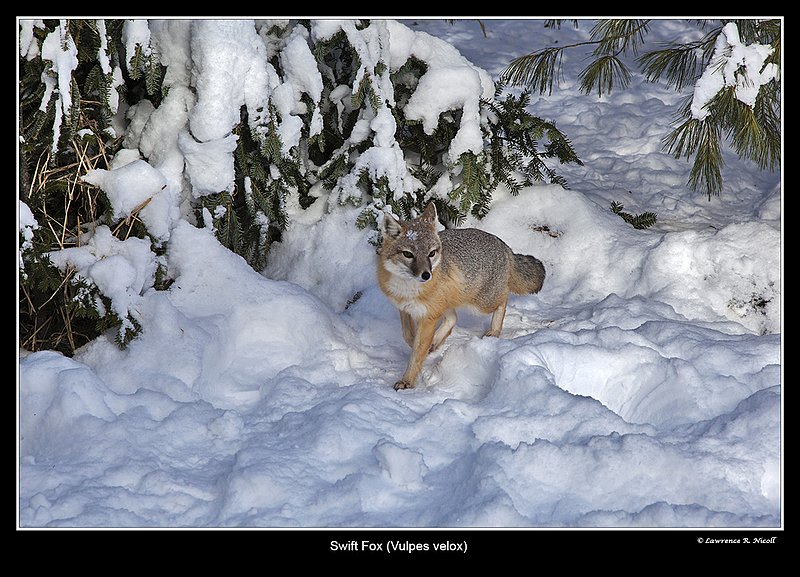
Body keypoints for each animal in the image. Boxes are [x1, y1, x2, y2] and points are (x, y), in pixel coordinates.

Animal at [377, 202, 546, 391]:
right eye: (408, 254)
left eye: (431, 253)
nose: (426, 275)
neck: (407, 289)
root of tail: (503, 245)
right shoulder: (405, 309)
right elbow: (408, 336)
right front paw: (422, 345)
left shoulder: (428, 316)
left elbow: (416, 353)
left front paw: (407, 380)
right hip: (449, 302)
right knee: (453, 318)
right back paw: (436, 341)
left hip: (481, 304)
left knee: (503, 299)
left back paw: (494, 330)